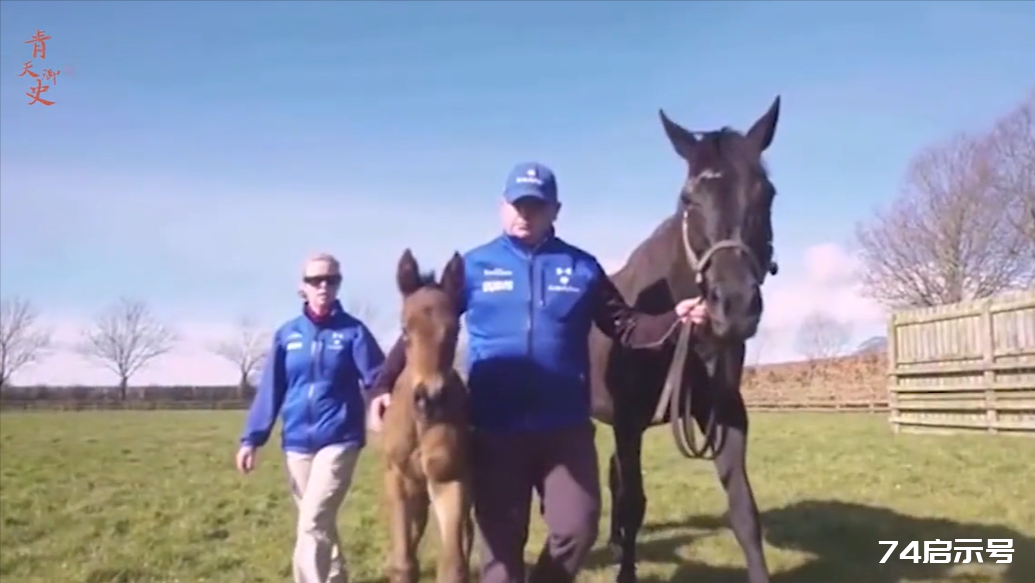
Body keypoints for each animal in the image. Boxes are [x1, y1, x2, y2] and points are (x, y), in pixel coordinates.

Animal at [382, 251, 474, 583]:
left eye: (455, 330)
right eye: (404, 330)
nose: (428, 399)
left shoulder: (449, 478)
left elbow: (453, 565)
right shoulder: (398, 479)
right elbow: (404, 561)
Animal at [592, 97, 782, 583]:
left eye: (767, 194)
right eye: (688, 199)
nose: (733, 306)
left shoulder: (724, 414)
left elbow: (744, 510)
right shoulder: (627, 422)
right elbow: (634, 501)